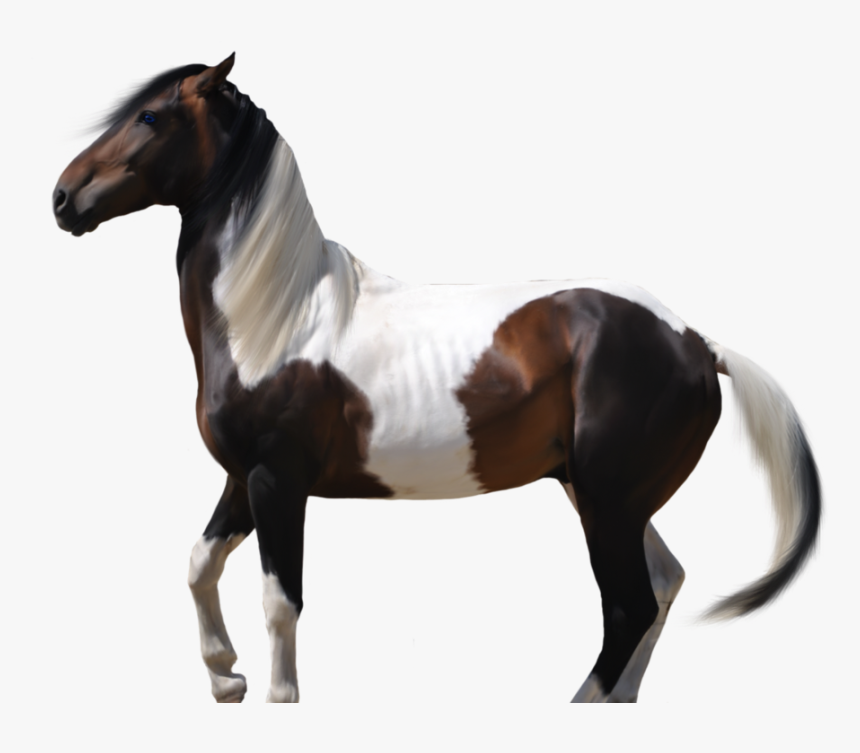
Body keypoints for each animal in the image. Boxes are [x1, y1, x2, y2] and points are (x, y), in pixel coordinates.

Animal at [52, 54, 821, 703]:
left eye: (150, 117)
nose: (62, 197)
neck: (277, 318)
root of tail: (695, 342)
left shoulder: (277, 481)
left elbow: (280, 601)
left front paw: (273, 695)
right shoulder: (244, 479)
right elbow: (198, 563)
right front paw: (224, 678)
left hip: (608, 500)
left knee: (629, 604)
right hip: (604, 496)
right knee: (662, 586)